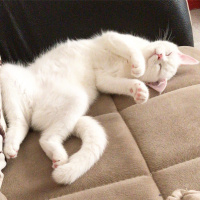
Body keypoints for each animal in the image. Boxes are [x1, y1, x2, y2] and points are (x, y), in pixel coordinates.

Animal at [0, 30, 198, 184]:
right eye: (168, 55)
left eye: (160, 67)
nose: (159, 56)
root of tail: (35, 114)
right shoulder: (112, 38)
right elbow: (131, 49)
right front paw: (139, 66)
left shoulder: (105, 81)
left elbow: (122, 84)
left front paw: (139, 91)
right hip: (8, 74)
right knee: (19, 122)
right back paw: (11, 147)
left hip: (76, 101)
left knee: (40, 135)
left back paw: (53, 155)